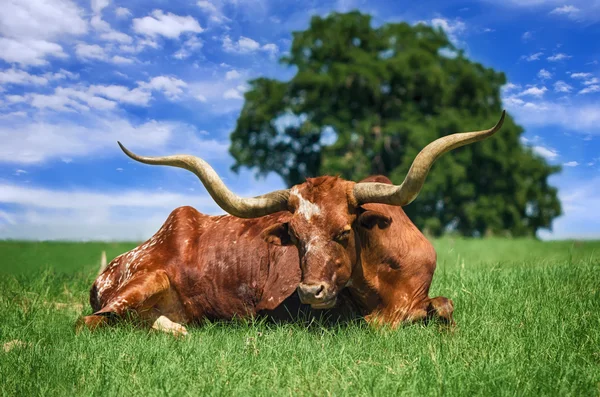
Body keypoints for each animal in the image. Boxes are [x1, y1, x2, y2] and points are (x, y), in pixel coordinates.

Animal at [77, 110, 504, 334]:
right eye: (295, 237)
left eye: (344, 231)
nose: (310, 291)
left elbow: (444, 306)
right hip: (140, 284)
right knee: (90, 321)